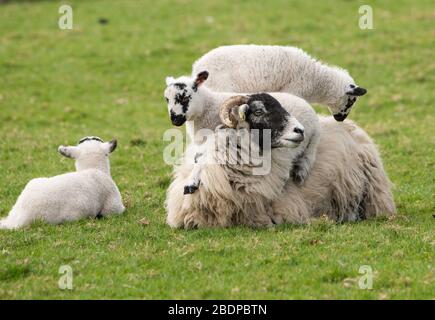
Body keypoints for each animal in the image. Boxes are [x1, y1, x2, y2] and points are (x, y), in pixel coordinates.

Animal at [164, 70, 320, 192]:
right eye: (166, 99)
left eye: (184, 97)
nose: (175, 120)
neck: (208, 107)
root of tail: (314, 117)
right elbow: (198, 157)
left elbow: (203, 160)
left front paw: (191, 184)